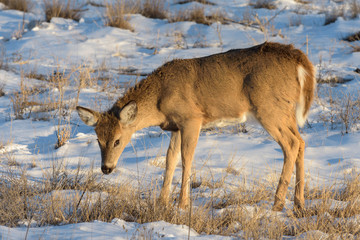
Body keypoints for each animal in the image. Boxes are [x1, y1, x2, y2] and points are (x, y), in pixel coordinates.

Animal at [76, 42, 316, 211]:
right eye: (98, 139)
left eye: (118, 140)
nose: (106, 168)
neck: (160, 98)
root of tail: (300, 62)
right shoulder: (175, 127)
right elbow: (170, 159)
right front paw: (162, 202)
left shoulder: (192, 118)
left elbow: (186, 157)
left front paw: (182, 204)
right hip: (285, 113)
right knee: (301, 142)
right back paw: (299, 204)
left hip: (269, 109)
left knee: (291, 144)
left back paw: (277, 204)